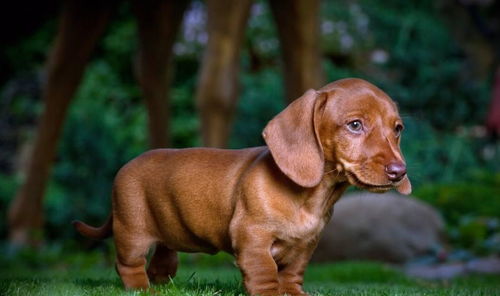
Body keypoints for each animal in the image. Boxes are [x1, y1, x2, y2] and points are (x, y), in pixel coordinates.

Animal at [73, 78, 410, 296]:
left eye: (397, 129)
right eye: (355, 125)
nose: (399, 171)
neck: (311, 197)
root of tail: (126, 166)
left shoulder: (305, 246)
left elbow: (292, 274)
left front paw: (294, 292)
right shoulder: (252, 239)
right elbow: (265, 275)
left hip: (168, 233)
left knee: (163, 260)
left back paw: (164, 285)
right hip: (132, 232)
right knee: (127, 266)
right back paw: (143, 290)